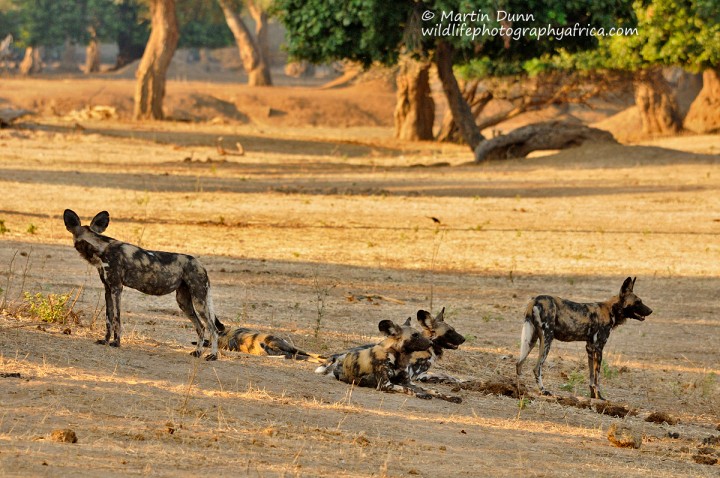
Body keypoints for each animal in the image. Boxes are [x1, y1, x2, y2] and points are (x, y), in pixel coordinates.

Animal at [63, 207, 225, 360]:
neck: (101, 248)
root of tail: (200, 264)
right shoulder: (107, 289)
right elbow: (108, 318)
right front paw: (105, 341)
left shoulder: (116, 288)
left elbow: (116, 318)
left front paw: (116, 342)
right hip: (184, 303)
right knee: (201, 327)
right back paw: (197, 352)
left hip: (199, 301)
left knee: (213, 329)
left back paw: (213, 356)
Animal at [516, 276, 656, 400]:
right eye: (638, 302)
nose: (651, 311)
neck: (612, 310)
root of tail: (535, 300)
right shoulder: (599, 348)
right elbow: (597, 377)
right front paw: (600, 396)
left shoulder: (589, 348)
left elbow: (591, 376)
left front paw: (592, 395)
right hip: (547, 340)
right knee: (536, 368)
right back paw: (543, 391)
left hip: (532, 340)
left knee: (519, 364)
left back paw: (519, 388)